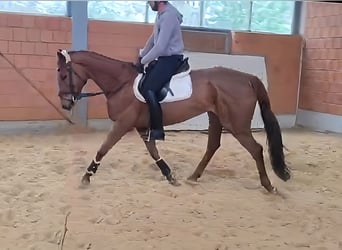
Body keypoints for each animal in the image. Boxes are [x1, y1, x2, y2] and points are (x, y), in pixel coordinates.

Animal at [56, 49, 292, 193]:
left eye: (63, 76)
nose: (65, 104)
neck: (121, 83)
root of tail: (248, 78)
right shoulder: (142, 126)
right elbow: (153, 152)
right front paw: (170, 175)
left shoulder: (123, 124)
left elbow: (104, 148)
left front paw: (87, 176)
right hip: (216, 118)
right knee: (213, 146)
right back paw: (194, 177)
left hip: (237, 125)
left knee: (256, 149)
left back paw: (269, 186)